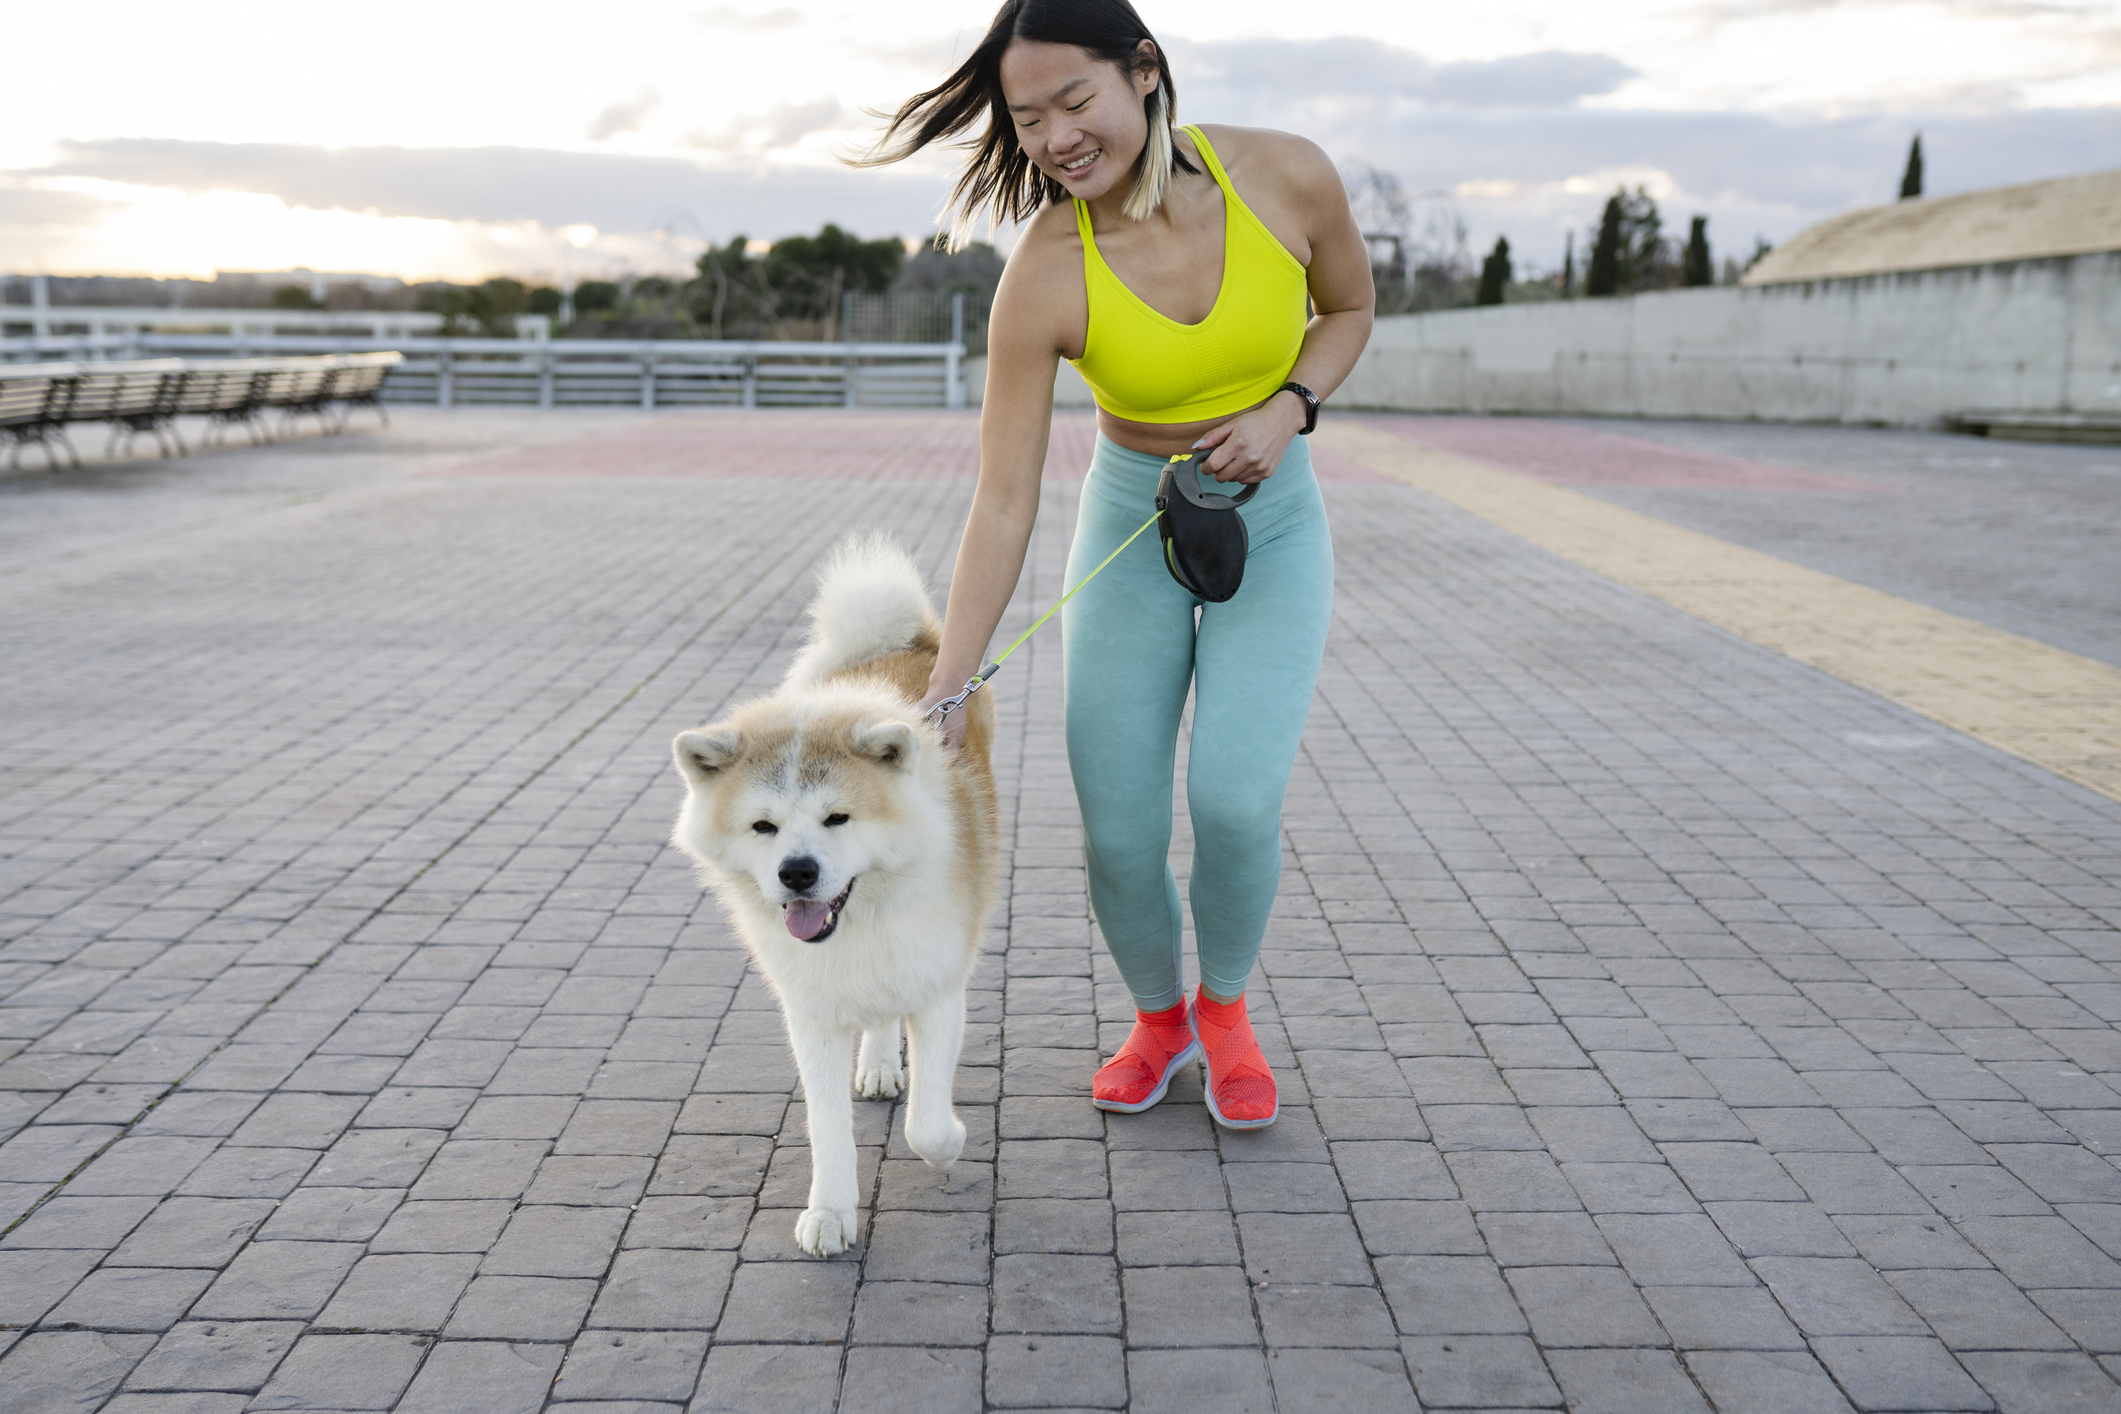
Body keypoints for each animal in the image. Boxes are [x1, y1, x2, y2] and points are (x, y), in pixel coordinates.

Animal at [665, 536, 996, 1255]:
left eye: (837, 819)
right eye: (763, 827)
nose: (796, 872)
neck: (860, 921)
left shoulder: (938, 989)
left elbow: (927, 1124)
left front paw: (950, 1142)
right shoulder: (812, 1010)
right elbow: (826, 1128)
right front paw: (832, 1211)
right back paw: (876, 1066)